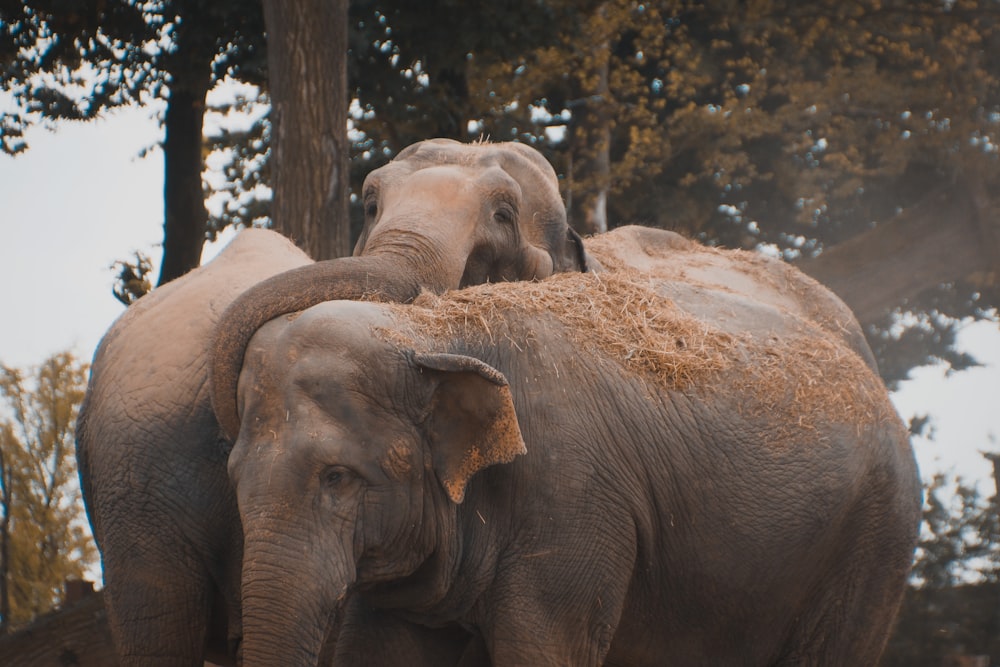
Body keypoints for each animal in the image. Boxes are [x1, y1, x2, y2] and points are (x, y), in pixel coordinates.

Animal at [221, 227, 920, 664]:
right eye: (233, 479)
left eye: (336, 477)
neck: (434, 330)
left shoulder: (575, 499)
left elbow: (544, 649)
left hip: (874, 544)